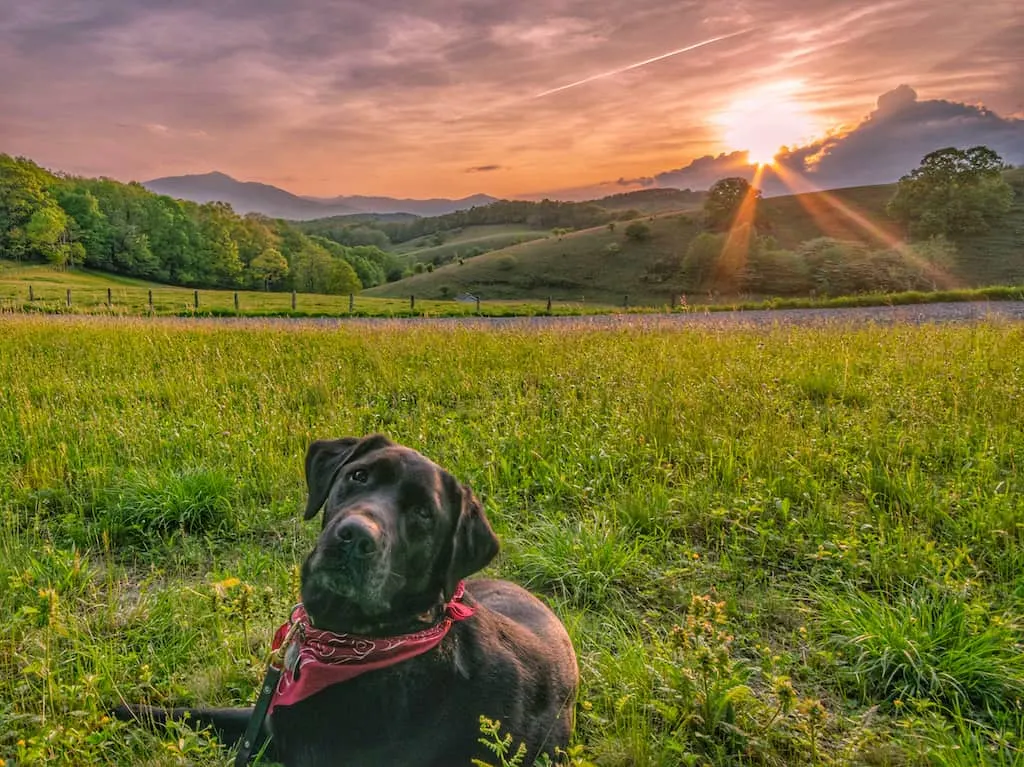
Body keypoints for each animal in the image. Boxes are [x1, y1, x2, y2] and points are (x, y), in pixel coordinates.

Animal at [117, 434, 581, 761]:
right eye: (358, 476)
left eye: (424, 514)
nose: (355, 536)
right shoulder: (263, 722)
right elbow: (187, 712)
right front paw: (118, 710)